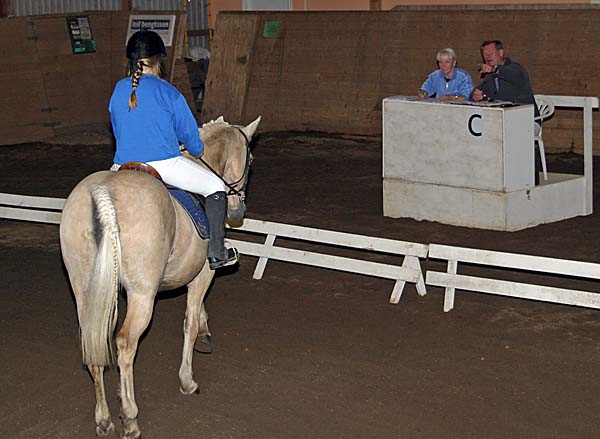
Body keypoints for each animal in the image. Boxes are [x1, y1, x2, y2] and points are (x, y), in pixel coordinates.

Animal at [59, 116, 261, 438]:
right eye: (250, 159)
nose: (239, 208)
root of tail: (103, 193)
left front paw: (205, 335)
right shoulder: (203, 274)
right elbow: (190, 322)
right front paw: (188, 379)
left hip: (84, 291)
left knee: (94, 343)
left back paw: (104, 419)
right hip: (143, 295)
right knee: (125, 343)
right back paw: (130, 418)